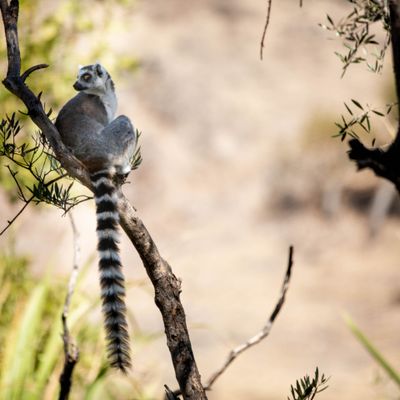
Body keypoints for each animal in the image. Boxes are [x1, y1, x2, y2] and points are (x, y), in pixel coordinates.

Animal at [55, 63, 137, 373]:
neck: (103, 94)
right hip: (107, 145)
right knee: (125, 121)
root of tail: (91, 159)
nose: (76, 86)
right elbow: (118, 119)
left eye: (86, 77)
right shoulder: (104, 114)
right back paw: (123, 166)